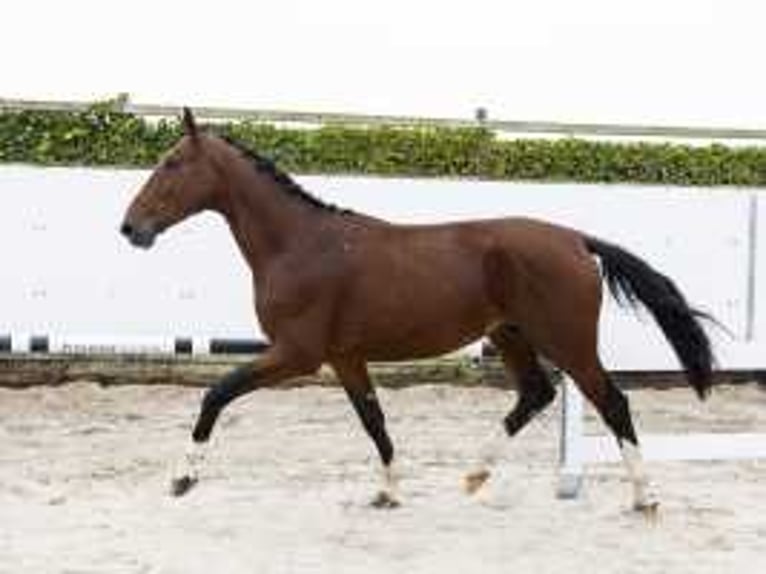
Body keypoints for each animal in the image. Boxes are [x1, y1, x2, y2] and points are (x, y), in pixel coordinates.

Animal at [118, 109, 712, 512]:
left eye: (172, 163)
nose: (130, 228)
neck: (300, 245)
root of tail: (576, 240)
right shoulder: (345, 358)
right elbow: (373, 419)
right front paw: (388, 491)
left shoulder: (297, 354)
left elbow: (217, 393)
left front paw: (183, 478)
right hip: (511, 335)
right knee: (535, 395)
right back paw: (473, 475)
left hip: (566, 341)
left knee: (613, 402)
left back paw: (645, 498)